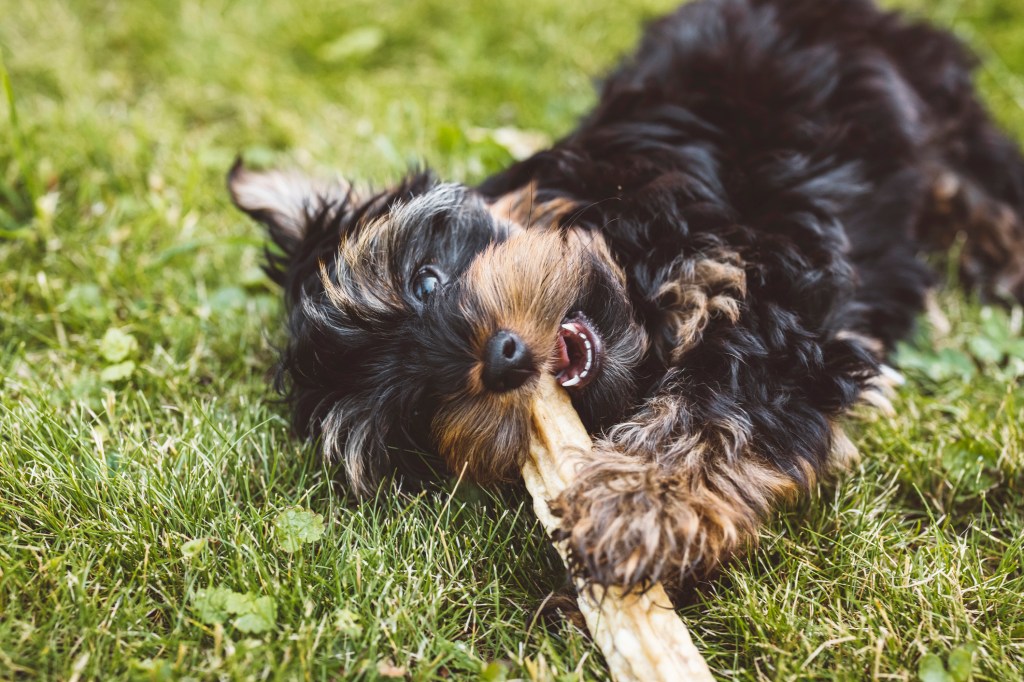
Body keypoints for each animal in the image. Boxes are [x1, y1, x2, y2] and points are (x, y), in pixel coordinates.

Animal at [230, 0, 1024, 589]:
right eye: (414, 412)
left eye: (424, 279)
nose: (501, 359)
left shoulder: (763, 283)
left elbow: (718, 395)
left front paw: (633, 502)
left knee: (974, 175)